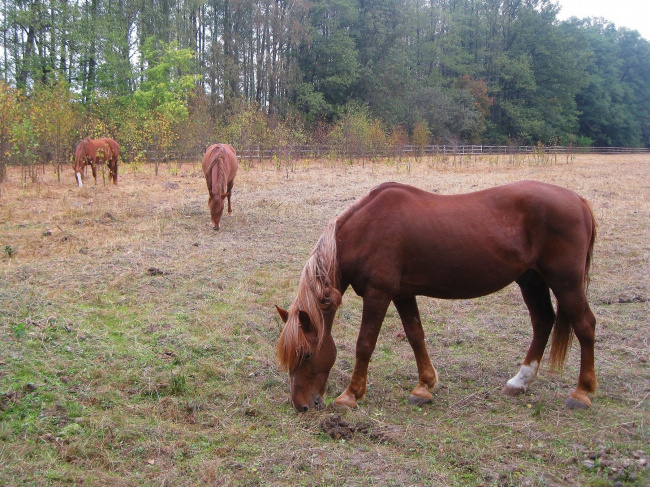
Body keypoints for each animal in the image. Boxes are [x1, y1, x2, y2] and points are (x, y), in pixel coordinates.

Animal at [276, 181, 596, 414]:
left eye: (306, 354)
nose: (301, 405)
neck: (365, 231)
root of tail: (579, 200)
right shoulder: (403, 294)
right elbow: (416, 335)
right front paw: (424, 386)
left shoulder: (378, 294)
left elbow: (364, 344)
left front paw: (350, 395)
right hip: (532, 280)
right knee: (543, 322)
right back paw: (520, 382)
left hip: (565, 282)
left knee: (585, 325)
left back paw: (581, 392)